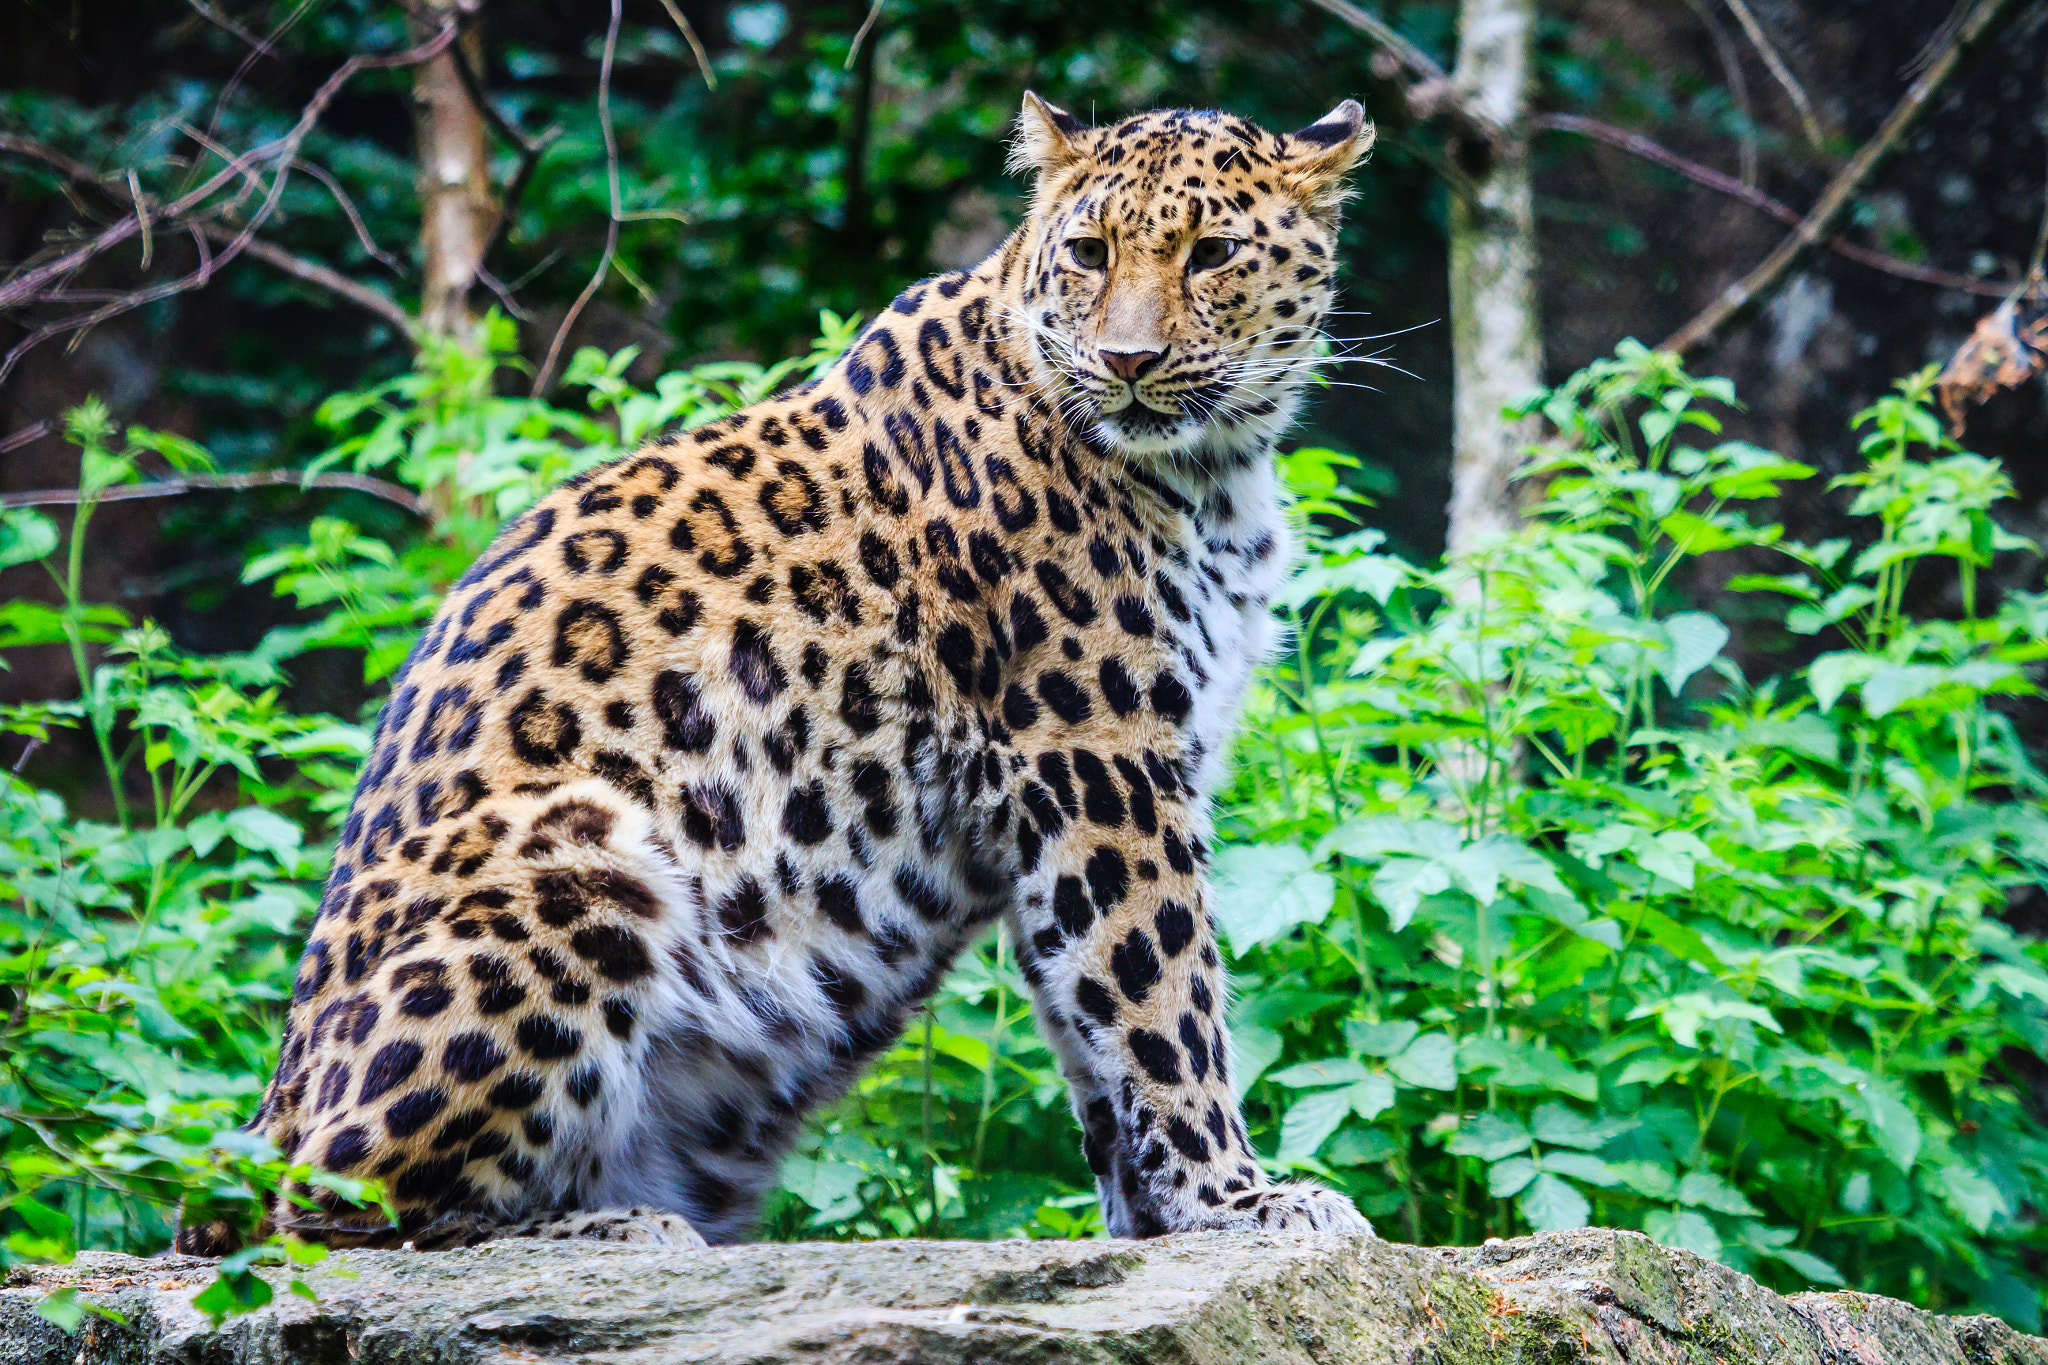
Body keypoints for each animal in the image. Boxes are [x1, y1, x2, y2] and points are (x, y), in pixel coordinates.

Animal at [178, 91, 1378, 1255]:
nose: (1127, 363)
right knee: (332, 1207)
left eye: (1211, 252)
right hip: (583, 850)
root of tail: (271, 1102)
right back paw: (607, 1232)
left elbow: (1091, 1015)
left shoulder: (1087, 792)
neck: (1212, 474)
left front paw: (1154, 1220)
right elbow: (1161, 997)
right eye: (1087, 252)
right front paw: (1237, 1200)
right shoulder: (1096, 762)